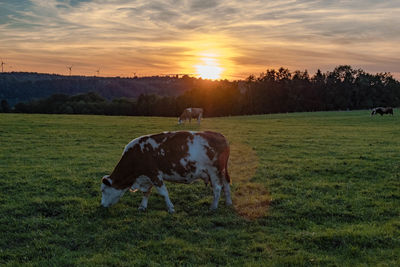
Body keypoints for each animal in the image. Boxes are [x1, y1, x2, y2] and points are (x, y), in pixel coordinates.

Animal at [100, 130, 231, 214]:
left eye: (104, 190)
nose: (101, 206)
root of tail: (220, 135)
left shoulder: (154, 174)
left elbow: (163, 193)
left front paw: (171, 208)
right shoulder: (147, 177)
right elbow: (146, 192)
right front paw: (142, 207)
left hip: (214, 171)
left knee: (217, 188)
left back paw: (213, 207)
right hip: (222, 171)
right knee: (226, 185)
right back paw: (228, 203)